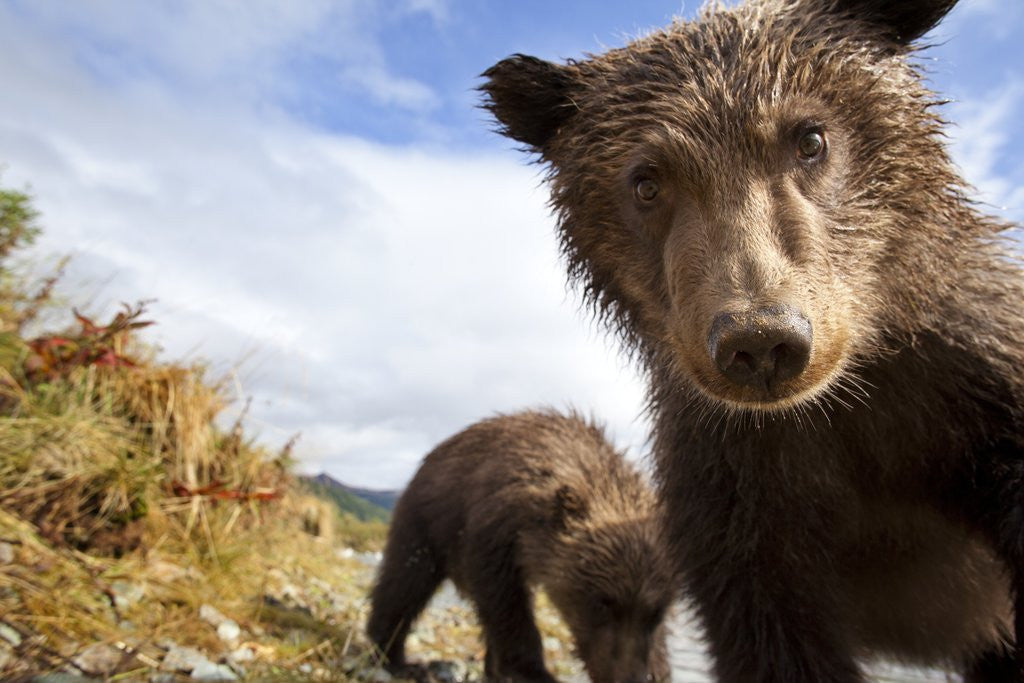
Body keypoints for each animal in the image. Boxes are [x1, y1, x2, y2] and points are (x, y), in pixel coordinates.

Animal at [366, 409, 674, 683]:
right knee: (405, 583)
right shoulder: (495, 530)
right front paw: (530, 670)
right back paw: (397, 659)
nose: (629, 677)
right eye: (601, 603)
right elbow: (505, 602)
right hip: (425, 521)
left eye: (656, 612)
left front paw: (659, 667)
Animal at [481, 1, 1024, 681]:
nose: (762, 340)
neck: (843, 402)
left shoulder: (969, 384)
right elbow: (769, 633)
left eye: (810, 138)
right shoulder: (736, 487)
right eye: (647, 181)